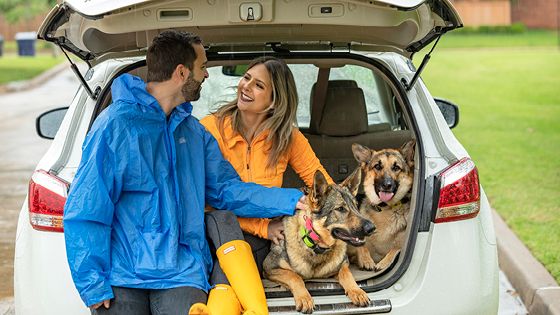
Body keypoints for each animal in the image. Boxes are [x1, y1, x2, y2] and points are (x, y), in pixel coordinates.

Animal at [264, 170, 376, 314]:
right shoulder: (269, 267)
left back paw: (366, 260)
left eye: (356, 206)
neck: (316, 246)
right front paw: (304, 297)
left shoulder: (343, 264)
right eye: (340, 209)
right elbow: (294, 276)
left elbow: (347, 274)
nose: (372, 228)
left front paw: (357, 291)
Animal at [350, 141, 416, 272]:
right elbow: (362, 247)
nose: (387, 185)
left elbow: (395, 249)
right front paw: (366, 260)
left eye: (396, 168)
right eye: (377, 166)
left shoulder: (399, 245)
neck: (384, 209)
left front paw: (384, 262)